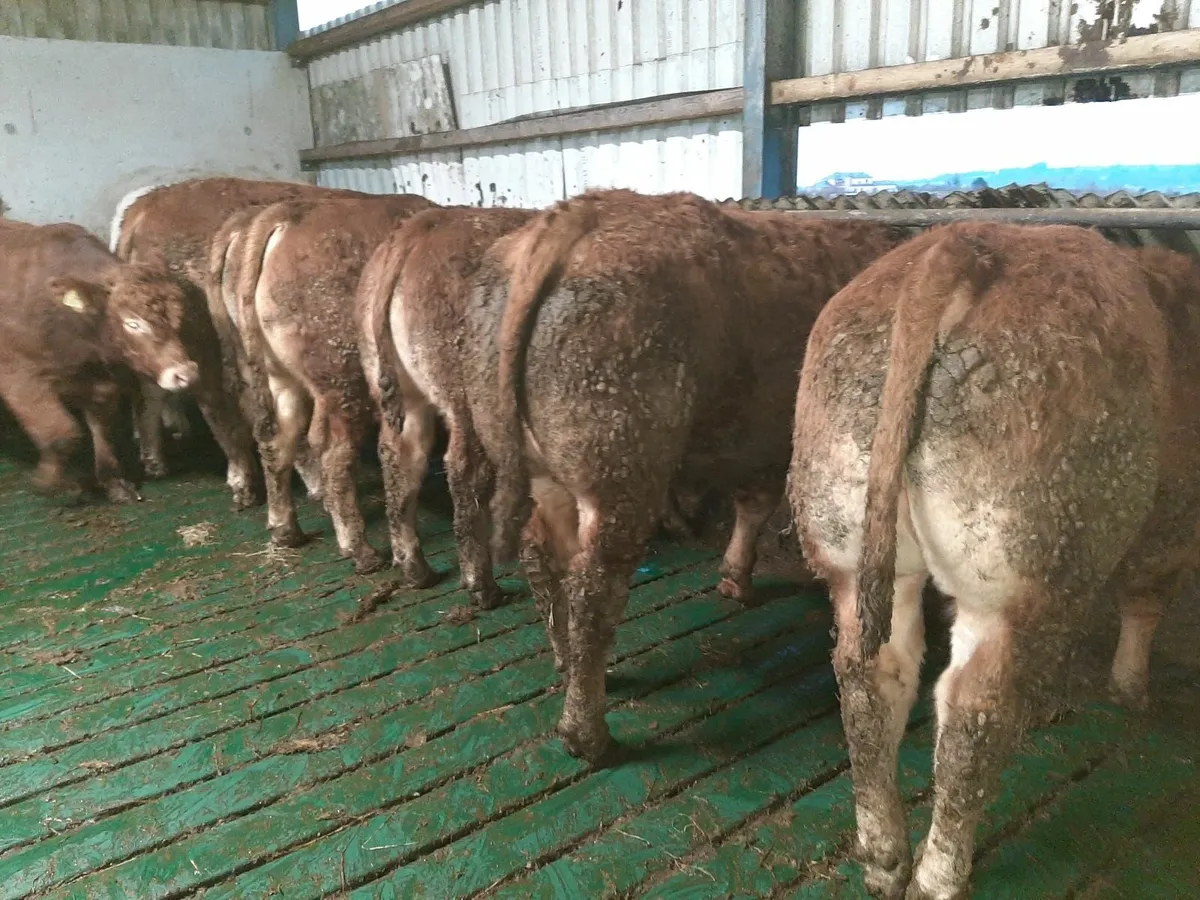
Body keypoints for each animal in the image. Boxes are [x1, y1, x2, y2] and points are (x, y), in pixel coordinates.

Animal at [0, 218, 198, 501]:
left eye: (178, 315)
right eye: (132, 323)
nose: (185, 373)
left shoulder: (103, 382)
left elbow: (103, 429)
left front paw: (114, 482)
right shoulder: (20, 377)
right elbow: (61, 432)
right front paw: (53, 481)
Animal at [230, 194, 437, 573]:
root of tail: (288, 217)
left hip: (281, 378)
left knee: (277, 439)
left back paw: (285, 529)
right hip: (345, 383)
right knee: (331, 453)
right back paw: (360, 550)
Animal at [356, 205, 538, 606]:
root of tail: (423, 225)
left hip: (399, 388)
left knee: (399, 458)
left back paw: (415, 569)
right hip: (469, 399)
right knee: (464, 471)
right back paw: (482, 586)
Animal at [467, 188, 907, 763]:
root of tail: (575, 214)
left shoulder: (759, 431)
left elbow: (752, 501)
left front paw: (734, 576)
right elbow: (761, 503)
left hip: (542, 466)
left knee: (543, 559)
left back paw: (566, 661)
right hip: (620, 465)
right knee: (593, 589)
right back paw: (588, 733)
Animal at [787, 221, 1200, 900]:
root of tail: (960, 244)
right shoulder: (1174, 519)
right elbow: (1145, 599)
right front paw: (1131, 688)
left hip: (848, 534)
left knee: (872, 677)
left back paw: (884, 856)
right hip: (1013, 571)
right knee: (972, 715)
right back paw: (939, 874)